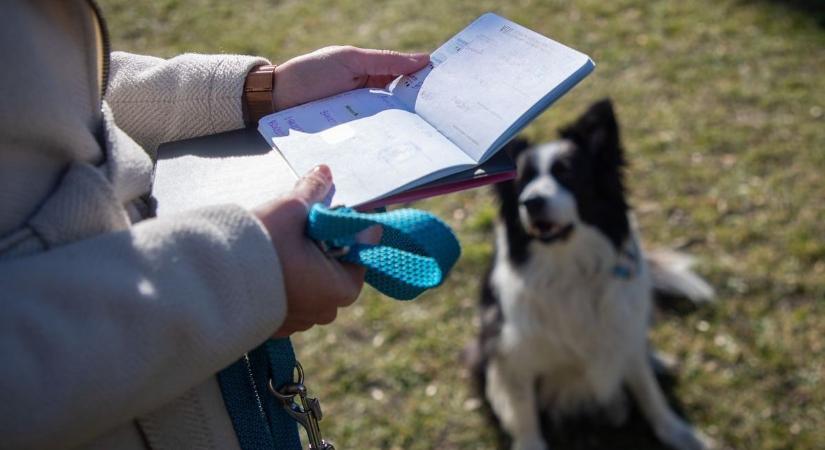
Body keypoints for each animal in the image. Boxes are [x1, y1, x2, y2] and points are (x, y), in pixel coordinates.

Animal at [470, 99, 716, 450]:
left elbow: (649, 393)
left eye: (568, 173)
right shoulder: (510, 353)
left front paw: (677, 433)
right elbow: (524, 412)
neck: (572, 270)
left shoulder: (622, 331)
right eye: (522, 182)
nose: (531, 202)